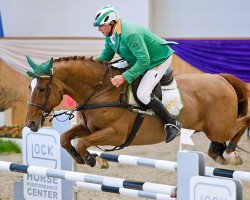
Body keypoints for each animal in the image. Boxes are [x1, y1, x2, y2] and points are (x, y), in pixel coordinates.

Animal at [24, 55, 250, 166]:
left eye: (42, 89)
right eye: (29, 87)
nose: (30, 124)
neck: (101, 90)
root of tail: (221, 78)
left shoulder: (116, 134)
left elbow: (82, 143)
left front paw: (93, 159)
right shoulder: (90, 128)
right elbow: (66, 139)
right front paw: (83, 159)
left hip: (219, 127)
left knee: (243, 122)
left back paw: (230, 154)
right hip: (215, 128)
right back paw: (218, 152)